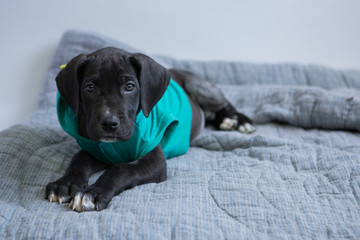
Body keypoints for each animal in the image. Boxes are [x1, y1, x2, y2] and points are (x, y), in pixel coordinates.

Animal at [45, 47, 255, 212]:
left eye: (130, 87)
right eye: (90, 88)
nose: (109, 123)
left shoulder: (155, 161)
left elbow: (121, 169)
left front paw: (93, 193)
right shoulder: (98, 149)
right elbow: (78, 159)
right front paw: (65, 183)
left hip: (200, 86)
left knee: (225, 103)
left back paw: (236, 120)